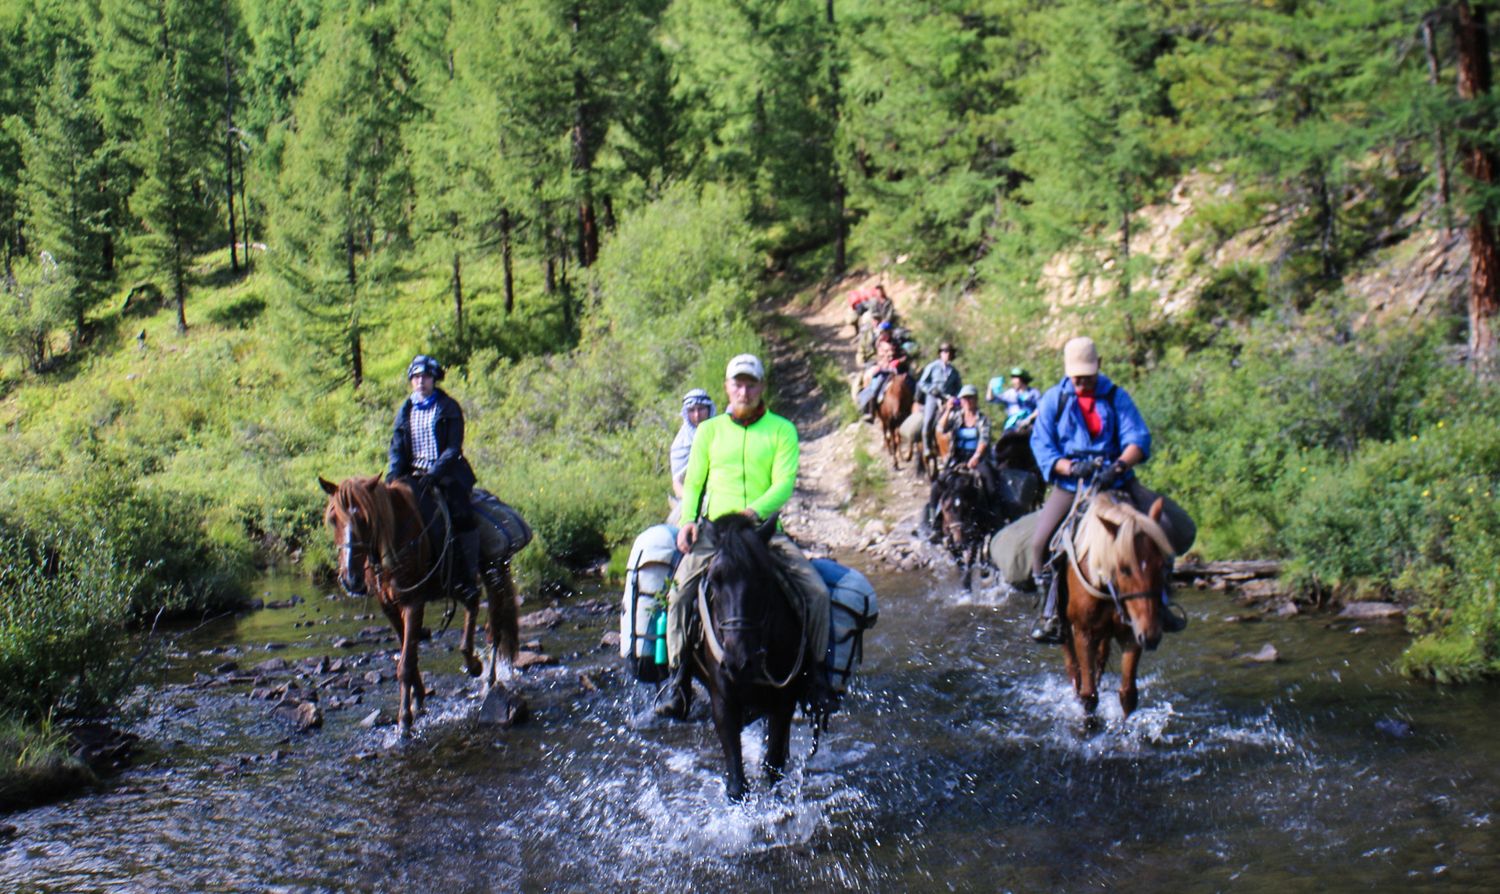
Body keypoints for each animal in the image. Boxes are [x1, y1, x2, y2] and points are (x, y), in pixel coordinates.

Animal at [318, 474, 522, 732]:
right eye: (333, 519)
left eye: (365, 518)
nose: (351, 580)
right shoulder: (388, 606)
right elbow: (409, 653)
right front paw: (418, 699)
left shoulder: (413, 602)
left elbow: (405, 664)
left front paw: (405, 720)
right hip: (460, 583)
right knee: (473, 604)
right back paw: (473, 663)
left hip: (493, 571)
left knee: (492, 629)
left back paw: (487, 679)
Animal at [690, 513, 822, 798]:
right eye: (713, 579)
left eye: (763, 578)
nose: (738, 663)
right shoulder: (723, 701)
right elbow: (736, 783)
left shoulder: (783, 701)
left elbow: (773, 767)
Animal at [1056, 489, 1170, 720]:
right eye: (1124, 568)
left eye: (1162, 565)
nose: (1152, 635)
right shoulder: (1084, 633)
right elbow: (1089, 695)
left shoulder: (1131, 634)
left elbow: (1128, 694)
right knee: (1073, 667)